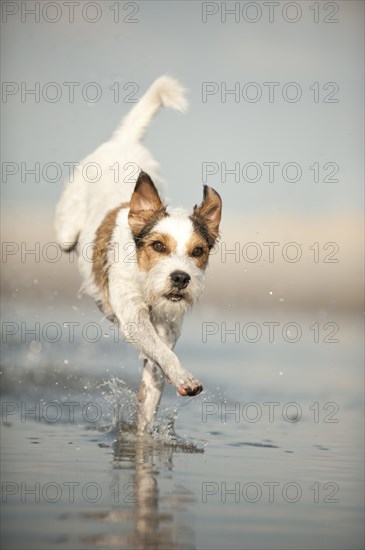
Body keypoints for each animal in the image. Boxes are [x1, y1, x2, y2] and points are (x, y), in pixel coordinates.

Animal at [53, 76, 219, 436]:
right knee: (67, 238)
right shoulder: (133, 315)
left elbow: (154, 372)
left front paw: (143, 433)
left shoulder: (167, 329)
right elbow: (159, 352)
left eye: (198, 252)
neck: (147, 283)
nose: (180, 278)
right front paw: (184, 377)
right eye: (158, 246)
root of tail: (124, 142)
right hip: (66, 229)